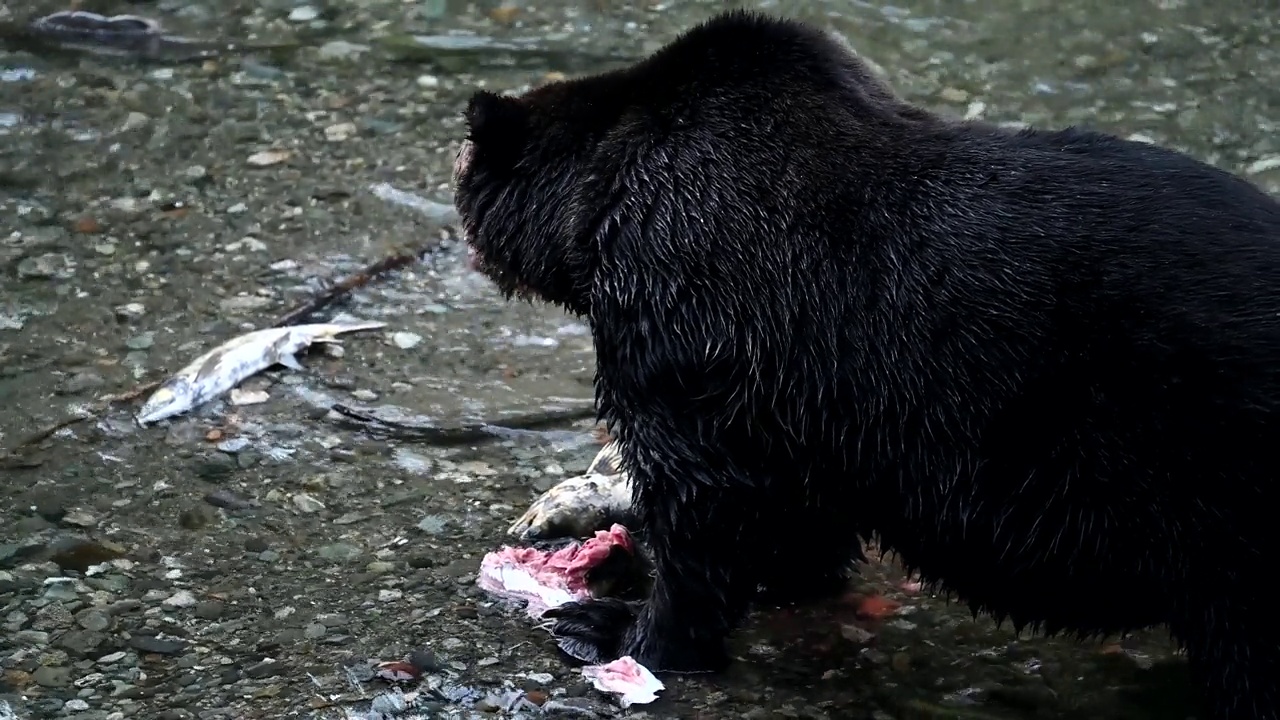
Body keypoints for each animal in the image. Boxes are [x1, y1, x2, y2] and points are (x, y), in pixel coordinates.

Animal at [453, 11, 1280, 717]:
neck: (602, 208)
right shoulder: (806, 391)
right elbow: (796, 508)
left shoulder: (690, 311)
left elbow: (702, 506)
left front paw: (614, 627)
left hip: (1210, 468)